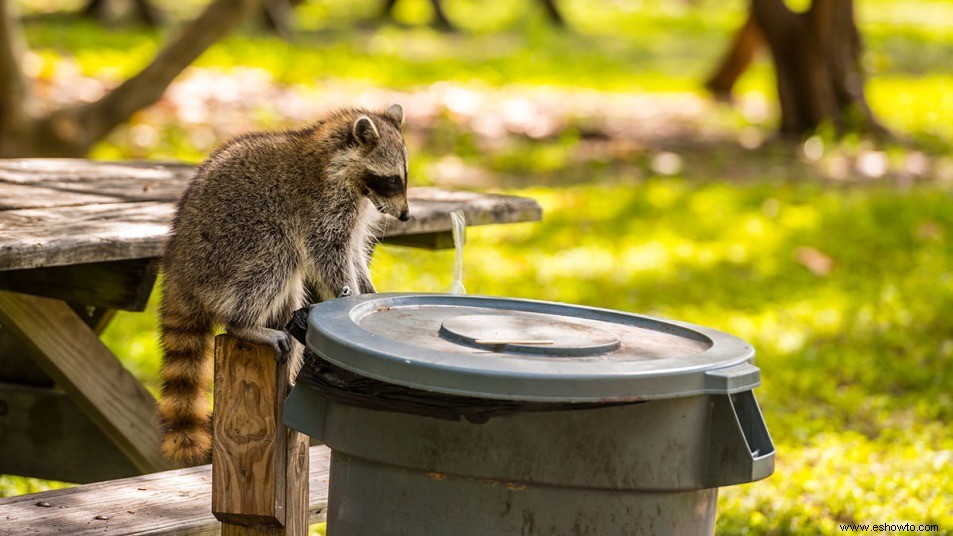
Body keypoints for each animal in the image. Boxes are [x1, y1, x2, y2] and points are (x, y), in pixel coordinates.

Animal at [157, 104, 410, 464]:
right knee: (278, 255)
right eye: (391, 180)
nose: (405, 216)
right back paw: (245, 324)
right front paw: (347, 292)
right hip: (226, 251)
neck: (336, 159)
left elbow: (355, 252)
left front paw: (367, 288)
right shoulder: (322, 203)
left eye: (404, 177)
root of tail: (179, 271)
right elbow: (327, 253)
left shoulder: (358, 208)